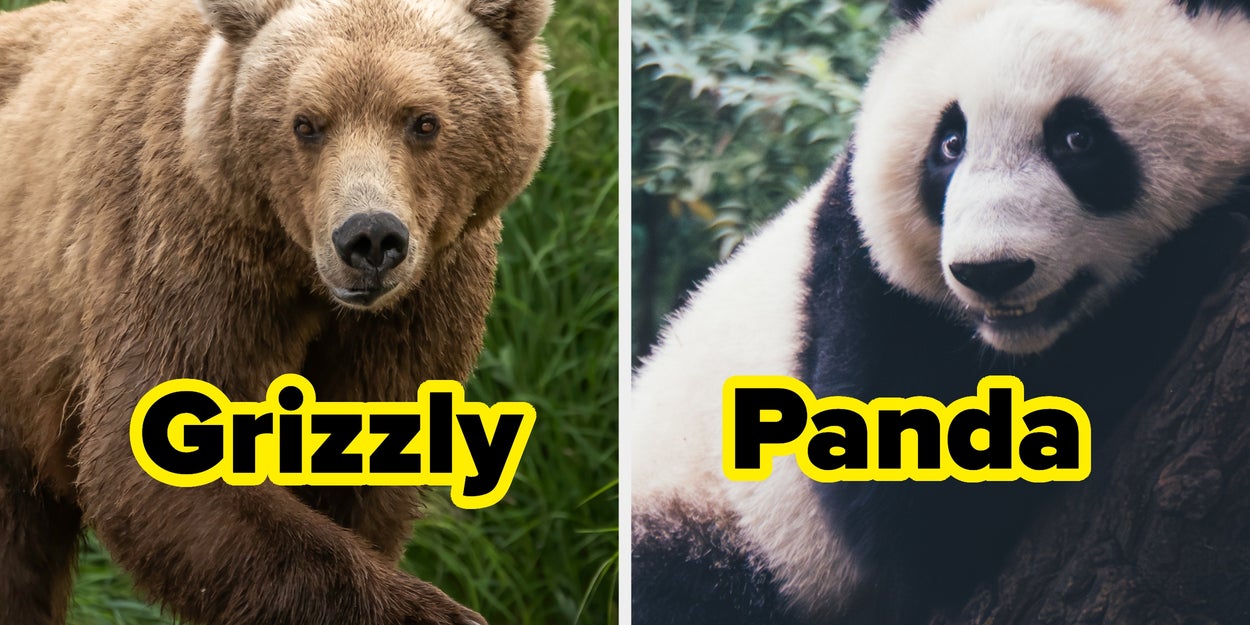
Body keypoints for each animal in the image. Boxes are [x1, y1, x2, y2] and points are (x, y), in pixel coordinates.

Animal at [0, 0, 552, 622]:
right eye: (305, 123)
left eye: (424, 121)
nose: (370, 238)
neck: (303, 274)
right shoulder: (189, 251)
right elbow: (163, 447)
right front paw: (439, 610)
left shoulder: (421, 302)